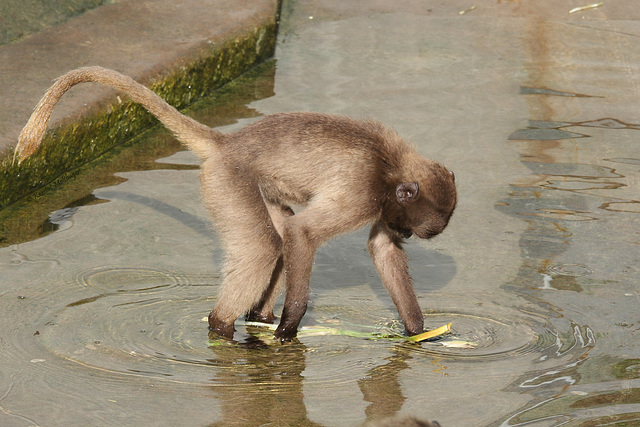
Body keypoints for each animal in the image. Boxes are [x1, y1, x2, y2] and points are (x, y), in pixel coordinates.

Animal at [13, 67, 456, 342]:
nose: (403, 233)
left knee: (277, 236)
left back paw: (257, 320)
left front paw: (420, 334)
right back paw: (226, 328)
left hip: (252, 187)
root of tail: (228, 144)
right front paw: (289, 330)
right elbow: (303, 234)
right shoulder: (362, 190)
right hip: (227, 181)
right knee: (268, 245)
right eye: (410, 228)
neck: (390, 165)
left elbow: (380, 250)